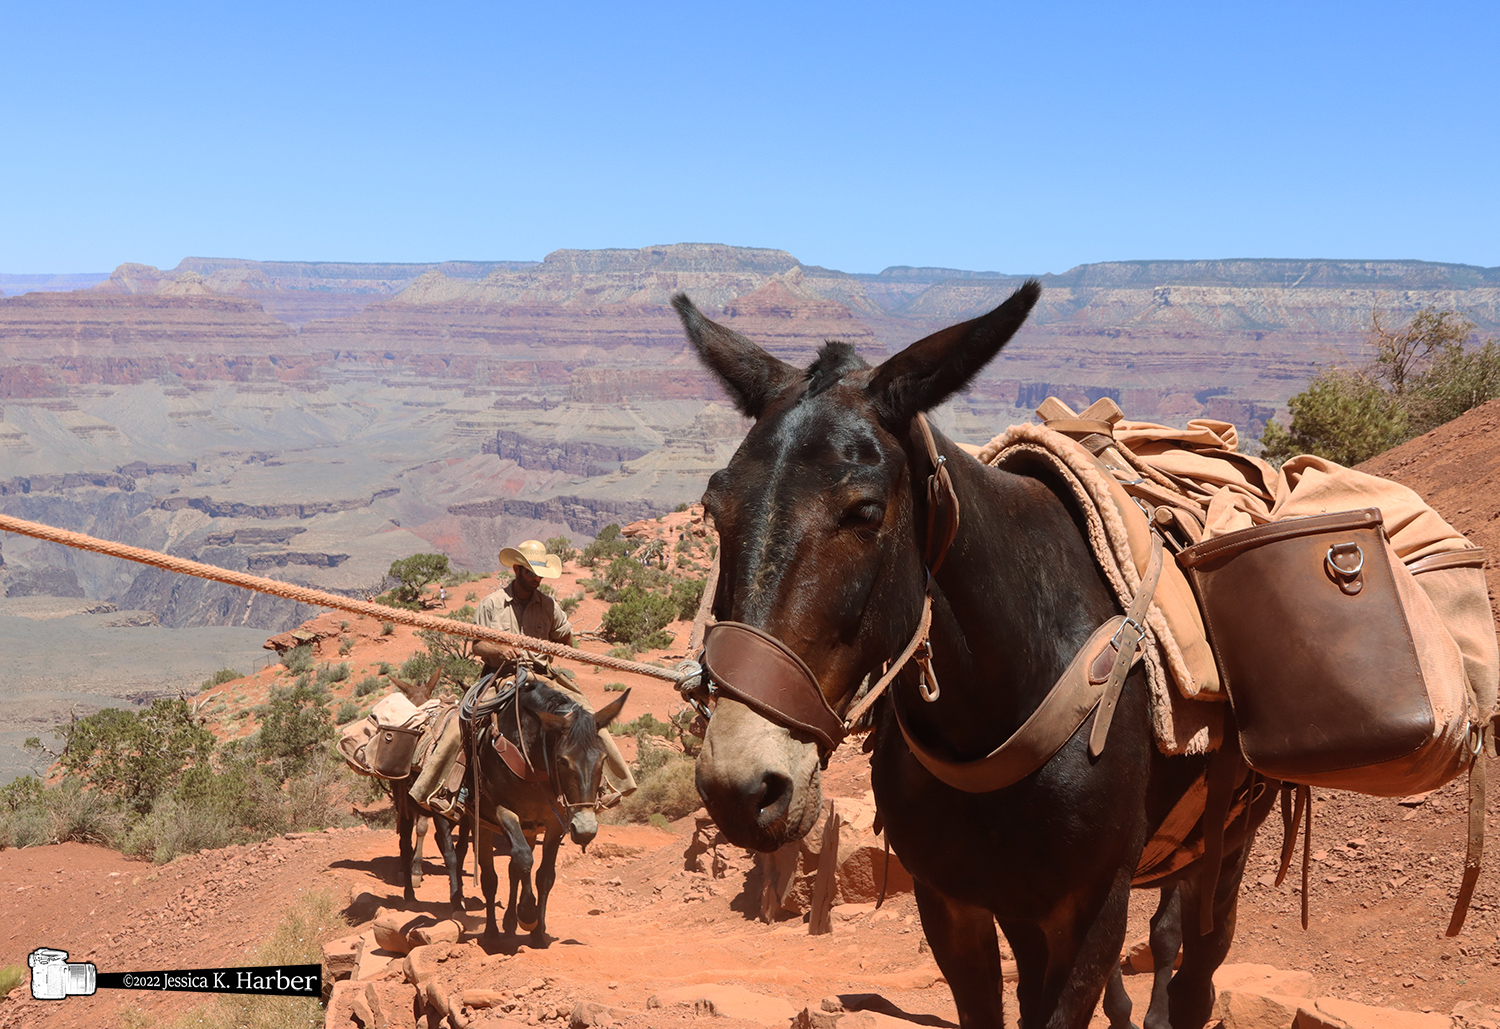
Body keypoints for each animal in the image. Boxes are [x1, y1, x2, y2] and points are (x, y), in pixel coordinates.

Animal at [457, 670, 629, 943]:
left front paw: (538, 931)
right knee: (491, 877)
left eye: (603, 759)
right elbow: (523, 860)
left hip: (529, 828)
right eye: (562, 760)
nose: (585, 831)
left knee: (512, 870)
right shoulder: (503, 812)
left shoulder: (555, 822)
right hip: (482, 823)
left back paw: (509, 923)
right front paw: (527, 913)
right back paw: (493, 932)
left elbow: (544, 875)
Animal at [673, 284, 1271, 1029]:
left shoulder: (1092, 911)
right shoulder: (953, 905)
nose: (740, 785)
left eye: (865, 512)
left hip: (1230, 838)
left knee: (1199, 958)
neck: (997, 699)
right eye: (713, 507)